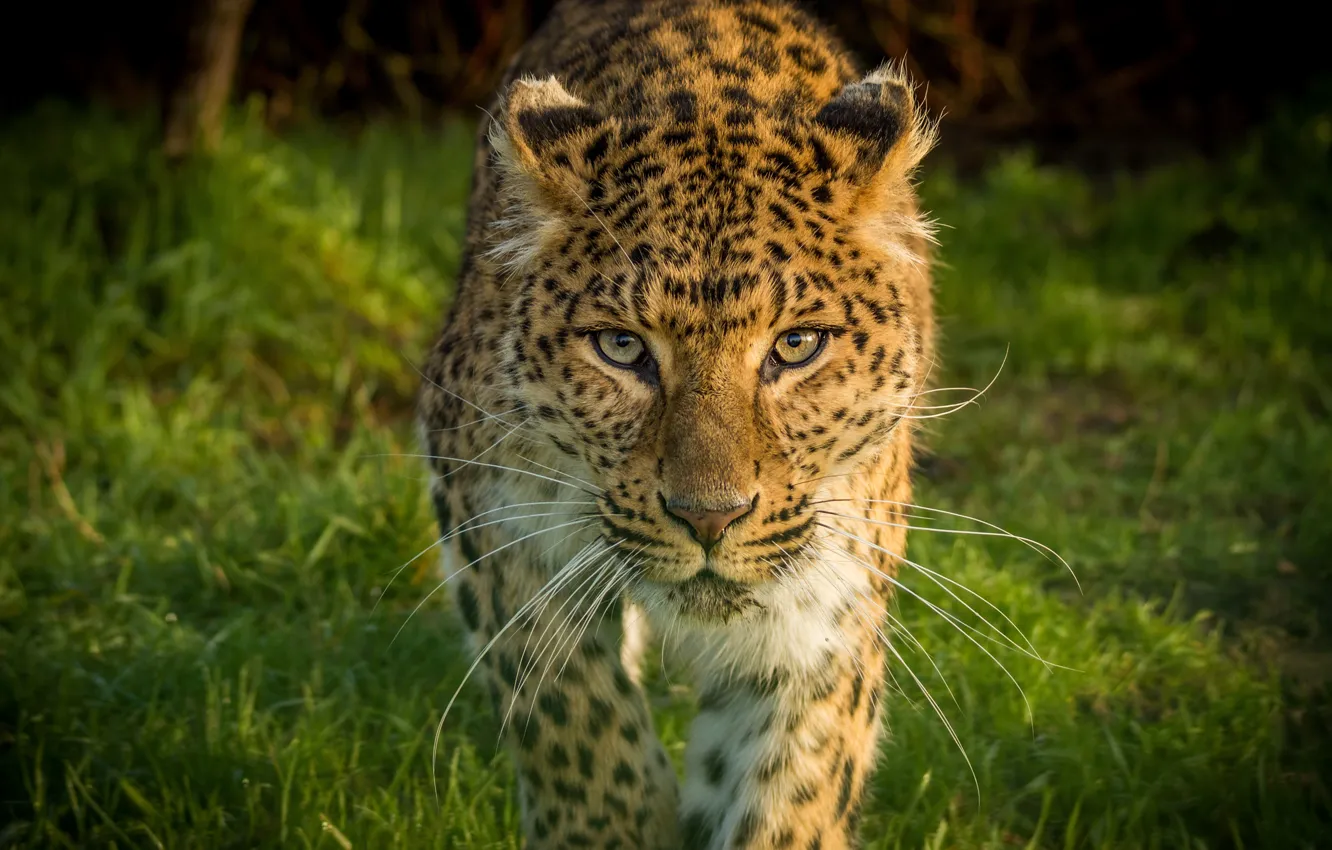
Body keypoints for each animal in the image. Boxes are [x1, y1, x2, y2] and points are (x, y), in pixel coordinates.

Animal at [416, 0, 938, 846]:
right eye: (622, 347)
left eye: (797, 346)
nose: (709, 519)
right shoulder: (491, 514)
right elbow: (569, 715)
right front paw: (608, 823)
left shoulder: (828, 606)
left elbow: (791, 792)